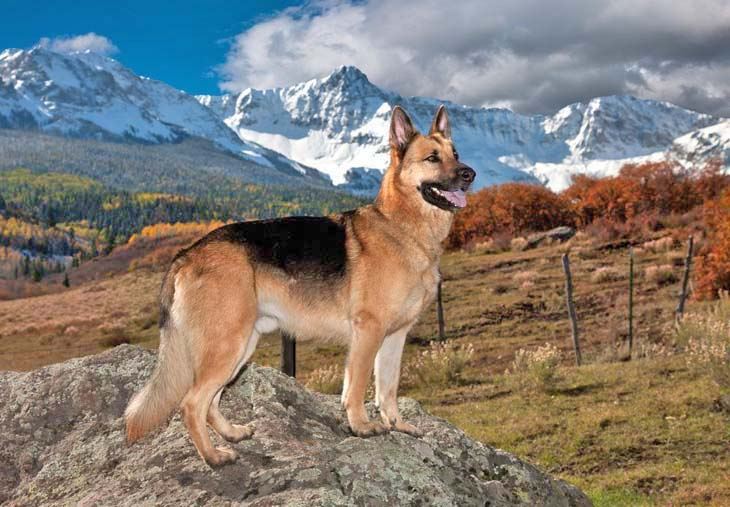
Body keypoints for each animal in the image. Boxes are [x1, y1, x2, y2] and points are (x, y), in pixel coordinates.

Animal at [122, 104, 474, 468]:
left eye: (455, 154)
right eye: (432, 158)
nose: (470, 174)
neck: (402, 227)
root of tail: (186, 254)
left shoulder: (394, 338)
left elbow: (388, 389)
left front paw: (397, 425)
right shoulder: (369, 333)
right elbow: (357, 386)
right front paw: (361, 426)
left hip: (240, 348)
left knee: (211, 401)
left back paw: (232, 434)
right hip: (227, 347)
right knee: (192, 403)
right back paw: (213, 457)